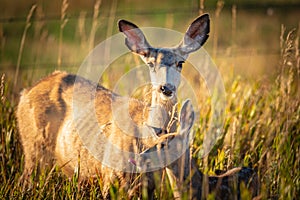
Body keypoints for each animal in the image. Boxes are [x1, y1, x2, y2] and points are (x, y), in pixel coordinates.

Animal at [17, 14, 210, 198]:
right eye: (150, 63)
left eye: (180, 63)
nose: (166, 88)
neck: (144, 137)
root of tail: (26, 91)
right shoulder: (111, 176)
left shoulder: (150, 186)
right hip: (33, 146)